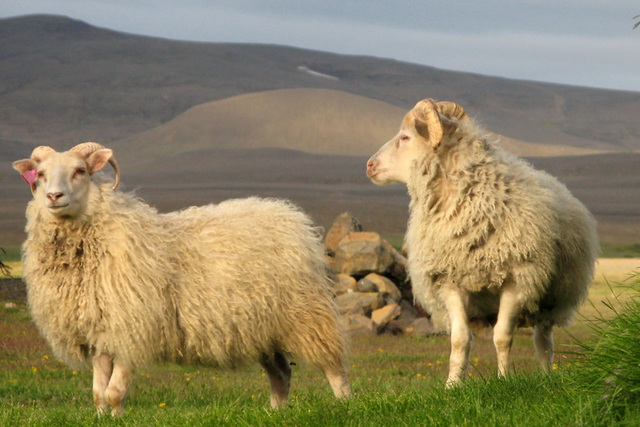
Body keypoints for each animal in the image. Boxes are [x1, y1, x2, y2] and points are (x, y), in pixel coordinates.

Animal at [12, 143, 352, 414]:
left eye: (80, 170)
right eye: (40, 175)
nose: (53, 196)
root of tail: (291, 216)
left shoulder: (133, 329)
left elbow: (114, 392)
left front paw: (117, 418)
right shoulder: (101, 333)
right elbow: (98, 393)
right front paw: (102, 419)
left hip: (306, 313)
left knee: (333, 365)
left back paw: (345, 405)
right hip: (260, 326)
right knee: (281, 372)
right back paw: (277, 412)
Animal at [364, 99, 600, 388]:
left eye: (405, 137)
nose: (369, 165)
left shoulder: (516, 279)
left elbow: (502, 336)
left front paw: (504, 380)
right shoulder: (450, 281)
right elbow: (460, 339)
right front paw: (453, 384)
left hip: (553, 294)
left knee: (543, 339)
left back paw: (547, 377)